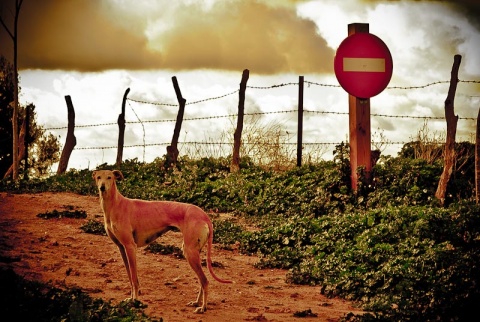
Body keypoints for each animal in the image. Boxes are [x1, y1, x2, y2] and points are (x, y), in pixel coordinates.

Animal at [92, 170, 232, 314]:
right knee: (202, 280)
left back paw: (203, 307)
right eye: (98, 177)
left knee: (205, 281)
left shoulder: (130, 247)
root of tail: (204, 215)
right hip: (193, 251)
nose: (102, 187)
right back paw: (197, 303)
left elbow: (134, 278)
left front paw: (134, 301)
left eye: (110, 177)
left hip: (190, 252)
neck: (115, 204)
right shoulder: (122, 247)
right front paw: (131, 299)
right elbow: (130, 277)